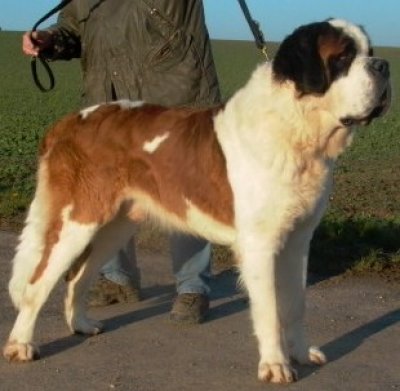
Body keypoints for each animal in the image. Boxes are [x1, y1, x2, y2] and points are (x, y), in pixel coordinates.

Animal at [3, 19, 390, 384]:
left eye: (369, 50)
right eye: (342, 57)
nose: (384, 65)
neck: (297, 127)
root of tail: (69, 122)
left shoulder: (298, 240)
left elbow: (295, 303)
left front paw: (301, 353)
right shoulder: (260, 244)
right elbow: (269, 310)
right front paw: (275, 365)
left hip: (115, 224)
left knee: (78, 276)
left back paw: (81, 324)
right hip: (79, 219)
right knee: (38, 282)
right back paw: (21, 344)